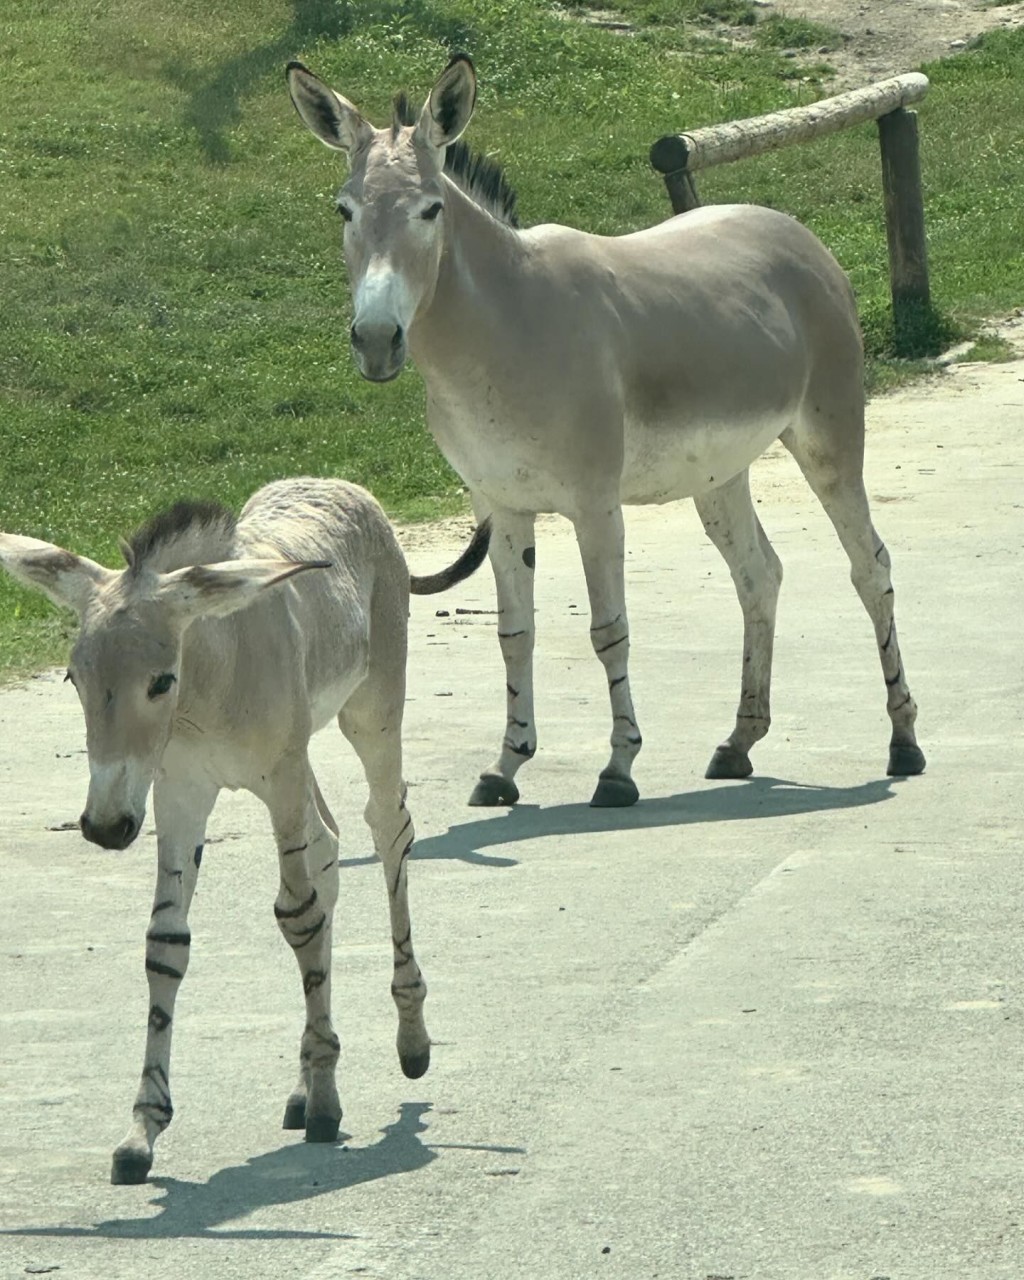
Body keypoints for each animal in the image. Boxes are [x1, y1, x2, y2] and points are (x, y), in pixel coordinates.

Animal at [0, 476, 488, 1182]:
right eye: (73, 678)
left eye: (161, 681)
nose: (106, 827)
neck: (212, 676)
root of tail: (338, 484)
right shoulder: (179, 793)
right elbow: (166, 942)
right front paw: (143, 1128)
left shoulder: (276, 777)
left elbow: (300, 915)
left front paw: (327, 1101)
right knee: (329, 845)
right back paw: (305, 1080)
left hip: (371, 715)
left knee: (386, 830)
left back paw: (408, 1039)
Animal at [285, 57, 926, 808]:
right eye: (345, 211)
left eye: (431, 210)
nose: (377, 341)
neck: (509, 324)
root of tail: (793, 231)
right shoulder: (500, 507)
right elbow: (514, 634)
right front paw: (505, 766)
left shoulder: (595, 505)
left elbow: (608, 630)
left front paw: (618, 768)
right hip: (720, 476)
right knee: (758, 575)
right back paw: (739, 743)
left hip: (828, 440)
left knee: (870, 566)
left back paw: (903, 740)